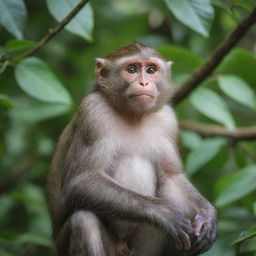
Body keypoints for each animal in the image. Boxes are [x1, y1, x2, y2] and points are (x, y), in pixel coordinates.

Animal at [47, 42, 217, 256]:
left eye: (151, 70)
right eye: (132, 69)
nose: (144, 83)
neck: (133, 115)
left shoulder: (168, 121)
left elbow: (172, 179)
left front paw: (208, 216)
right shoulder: (93, 112)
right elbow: (82, 181)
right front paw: (164, 212)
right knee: (83, 219)